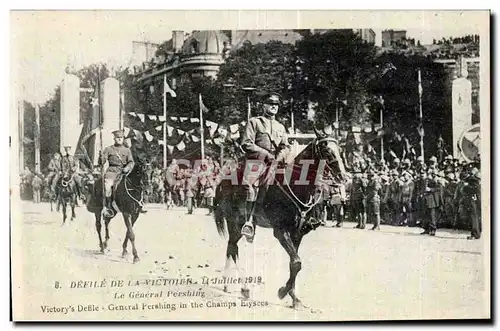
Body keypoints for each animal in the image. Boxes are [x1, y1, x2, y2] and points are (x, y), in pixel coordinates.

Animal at [212, 132, 348, 308]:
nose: (343, 177)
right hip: (235, 223)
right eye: (326, 150)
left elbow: (294, 263)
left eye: (340, 150)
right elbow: (297, 262)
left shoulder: (297, 233)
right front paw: (283, 292)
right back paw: (244, 288)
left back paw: (228, 284)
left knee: (231, 248)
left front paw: (293, 297)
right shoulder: (280, 231)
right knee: (233, 249)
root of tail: (223, 181)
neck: (295, 184)